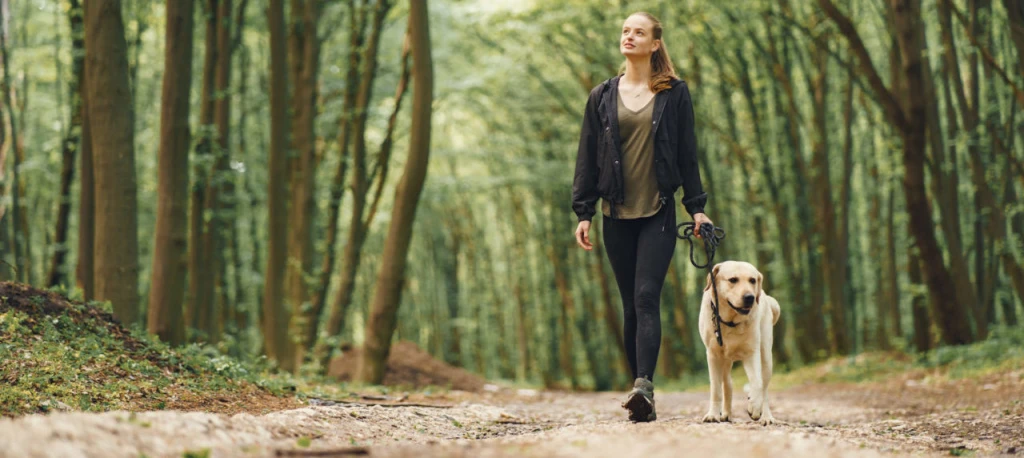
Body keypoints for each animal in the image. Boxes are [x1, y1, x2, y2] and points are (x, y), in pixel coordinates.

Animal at [700, 262, 778, 426]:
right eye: (733, 280)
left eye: (752, 280)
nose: (750, 297)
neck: (730, 322)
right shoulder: (713, 355)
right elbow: (716, 389)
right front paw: (713, 415)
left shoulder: (751, 353)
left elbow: (757, 383)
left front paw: (754, 406)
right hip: (725, 361)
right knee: (727, 384)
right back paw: (726, 414)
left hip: (766, 356)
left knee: (765, 387)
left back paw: (766, 416)